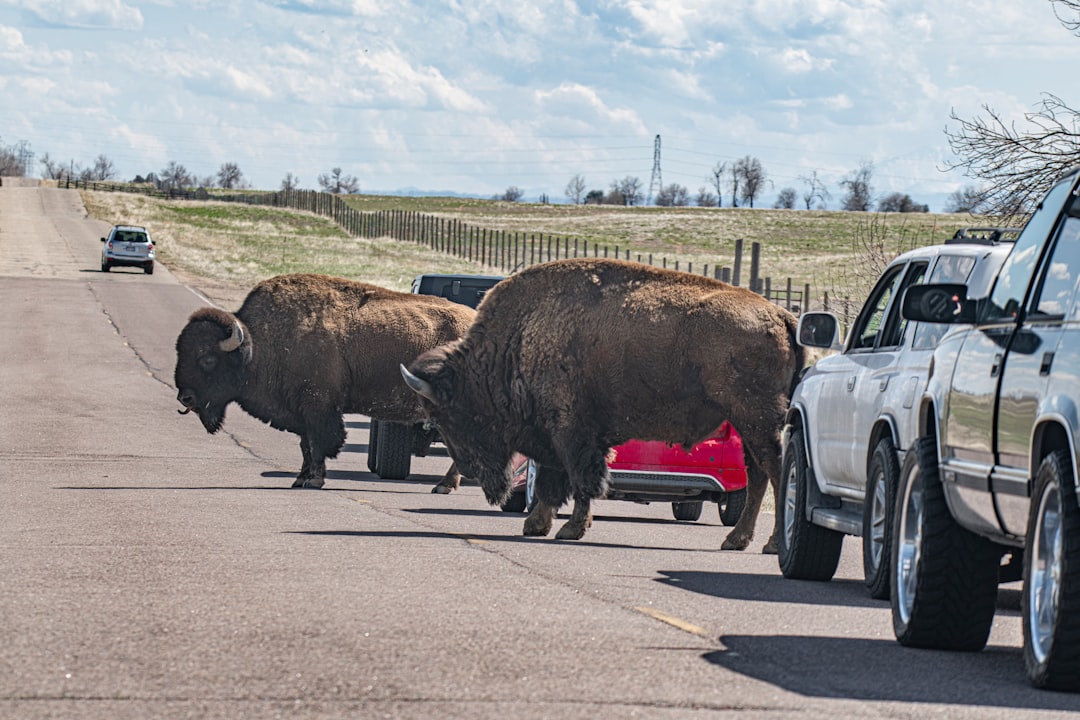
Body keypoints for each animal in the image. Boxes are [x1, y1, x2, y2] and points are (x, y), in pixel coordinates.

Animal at [174, 274, 475, 490]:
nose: (184, 398)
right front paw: (300, 478)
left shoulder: (318, 407)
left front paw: (314, 480)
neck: (260, 341)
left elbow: (319, 443)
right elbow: (305, 445)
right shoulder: (300, 411)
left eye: (207, 358)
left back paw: (445, 486)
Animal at [401, 259, 807, 552]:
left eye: (452, 415)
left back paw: (769, 544)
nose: (469, 470)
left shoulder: (571, 432)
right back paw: (736, 540)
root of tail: (782, 315)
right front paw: (537, 525)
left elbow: (581, 480)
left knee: (773, 473)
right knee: (758, 476)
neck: (519, 339)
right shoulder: (558, 435)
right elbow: (553, 480)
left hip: (755, 418)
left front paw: (570, 529)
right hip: (747, 423)